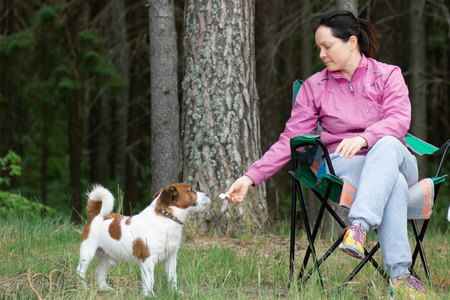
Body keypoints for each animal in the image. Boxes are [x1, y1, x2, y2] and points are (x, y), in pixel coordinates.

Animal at [76, 183, 211, 296]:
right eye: (191, 190)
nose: (208, 194)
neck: (166, 218)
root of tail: (95, 215)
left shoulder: (171, 258)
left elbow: (173, 277)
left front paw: (175, 292)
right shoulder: (148, 260)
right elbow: (149, 280)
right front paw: (149, 295)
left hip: (108, 257)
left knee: (100, 271)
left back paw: (104, 288)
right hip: (87, 253)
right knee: (80, 271)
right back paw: (83, 288)